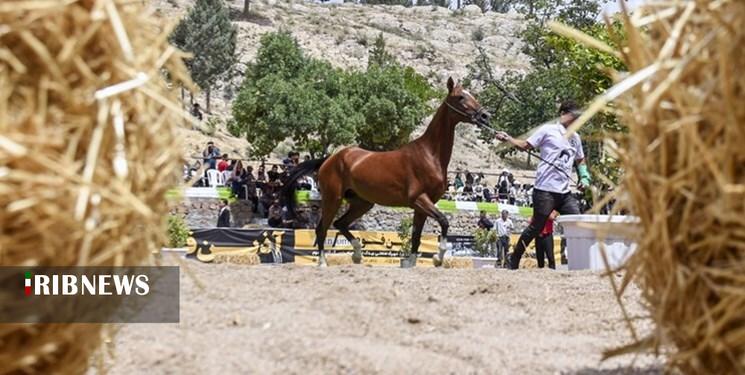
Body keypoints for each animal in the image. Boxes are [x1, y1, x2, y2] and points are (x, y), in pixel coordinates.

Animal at [284, 78, 488, 268]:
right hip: (332, 199)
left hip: (362, 203)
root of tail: (329, 159)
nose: (485, 116)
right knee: (322, 229)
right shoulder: (419, 199)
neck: (430, 155)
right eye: (460, 97)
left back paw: (357, 254)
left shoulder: (421, 206)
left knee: (340, 224)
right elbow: (444, 221)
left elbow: (416, 236)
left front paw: (411, 263)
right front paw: (438, 257)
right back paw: (323, 262)